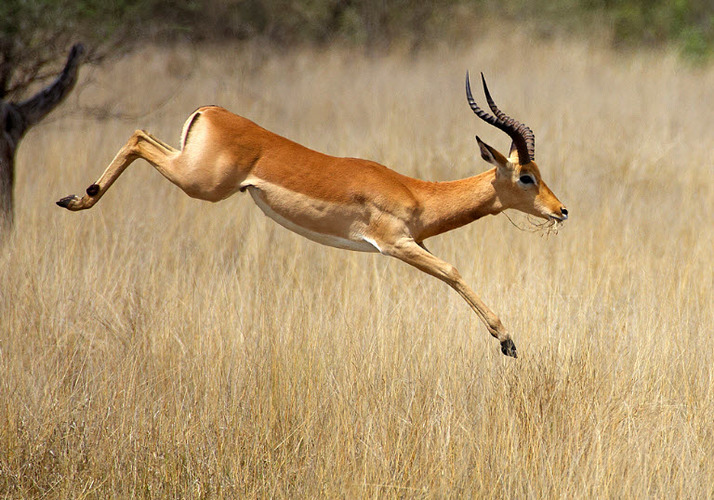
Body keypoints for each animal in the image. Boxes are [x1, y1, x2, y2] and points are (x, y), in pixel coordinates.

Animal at [57, 72, 567, 357]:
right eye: (526, 176)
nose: (561, 210)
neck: (418, 193)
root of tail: (210, 110)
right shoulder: (396, 244)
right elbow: (453, 271)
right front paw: (507, 341)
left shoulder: (415, 242)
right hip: (202, 185)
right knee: (138, 136)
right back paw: (79, 199)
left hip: (191, 170)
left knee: (141, 133)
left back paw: (77, 198)